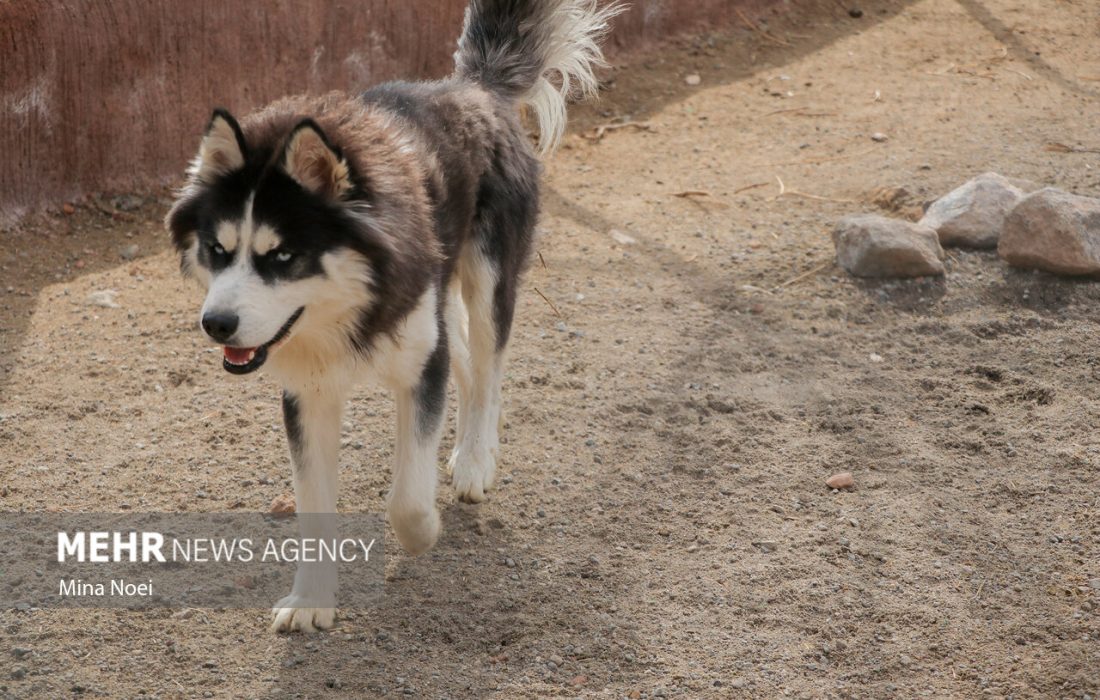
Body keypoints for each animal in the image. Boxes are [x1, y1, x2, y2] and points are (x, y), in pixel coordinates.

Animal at [167, 0, 624, 629]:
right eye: (217, 249)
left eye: (282, 256)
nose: (215, 325)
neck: (351, 305)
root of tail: (472, 85)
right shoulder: (309, 393)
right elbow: (313, 505)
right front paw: (312, 600)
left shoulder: (419, 364)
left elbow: (406, 495)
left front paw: (422, 531)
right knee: (465, 360)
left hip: (488, 280)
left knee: (488, 370)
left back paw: (475, 459)